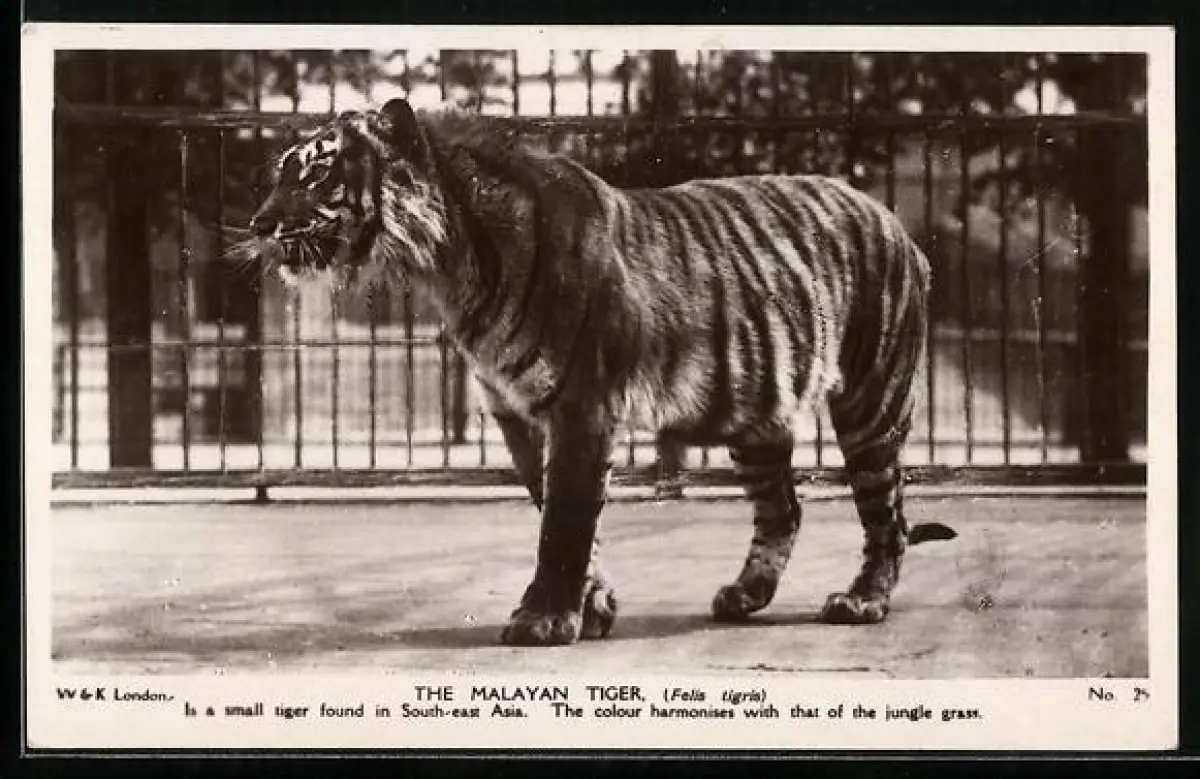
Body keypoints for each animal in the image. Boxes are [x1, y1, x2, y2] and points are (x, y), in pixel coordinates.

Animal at [247, 98, 956, 647]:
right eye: (280, 173)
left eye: (316, 174)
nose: (258, 222)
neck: (450, 264)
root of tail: (894, 220)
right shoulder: (517, 412)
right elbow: (558, 510)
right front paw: (593, 608)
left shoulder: (581, 404)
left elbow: (564, 519)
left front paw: (541, 620)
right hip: (754, 415)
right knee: (784, 508)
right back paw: (743, 595)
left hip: (871, 401)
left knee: (886, 514)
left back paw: (862, 603)